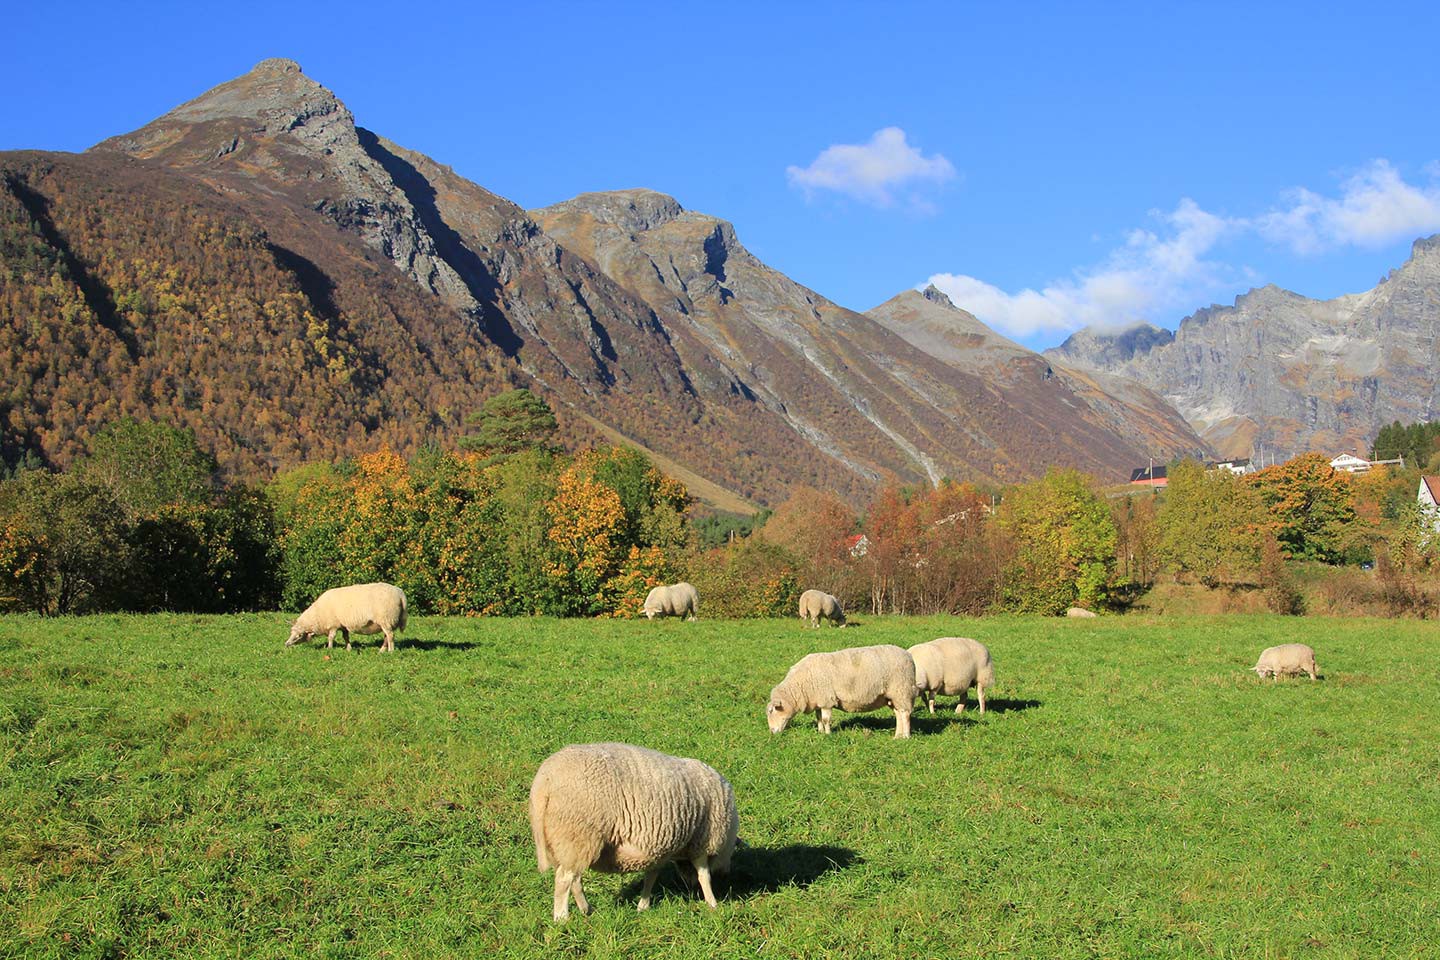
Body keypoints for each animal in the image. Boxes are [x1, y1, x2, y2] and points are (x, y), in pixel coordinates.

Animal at [529, 742, 737, 921]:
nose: (726, 874)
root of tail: (544, 782)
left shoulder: (661, 849)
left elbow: (651, 876)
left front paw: (643, 906)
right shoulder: (701, 842)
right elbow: (704, 876)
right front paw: (713, 904)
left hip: (562, 842)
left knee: (574, 880)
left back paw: (586, 909)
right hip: (577, 834)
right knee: (564, 879)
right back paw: (562, 918)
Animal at [766, 644, 910, 742]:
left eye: (772, 711)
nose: (772, 732)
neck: (800, 686)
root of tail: (907, 654)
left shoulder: (826, 700)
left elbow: (825, 719)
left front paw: (828, 734)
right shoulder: (819, 699)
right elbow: (818, 718)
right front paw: (820, 732)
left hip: (902, 691)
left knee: (905, 715)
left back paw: (906, 736)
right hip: (893, 697)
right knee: (899, 714)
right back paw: (898, 736)